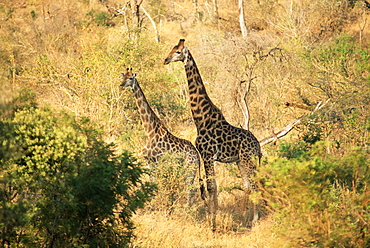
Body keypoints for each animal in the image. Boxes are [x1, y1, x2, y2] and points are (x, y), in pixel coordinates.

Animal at [120, 68, 201, 205]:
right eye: (123, 77)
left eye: (131, 78)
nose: (121, 85)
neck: (149, 132)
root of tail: (197, 154)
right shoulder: (149, 163)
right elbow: (152, 185)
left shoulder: (157, 162)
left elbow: (156, 186)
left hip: (189, 168)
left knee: (190, 189)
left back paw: (187, 208)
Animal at [165, 39, 264, 231]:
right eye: (171, 49)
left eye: (178, 52)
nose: (165, 60)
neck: (201, 118)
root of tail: (258, 146)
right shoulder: (207, 156)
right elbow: (213, 186)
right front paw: (213, 218)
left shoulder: (207, 155)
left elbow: (211, 186)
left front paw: (212, 223)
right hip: (240, 160)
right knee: (247, 183)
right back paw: (245, 217)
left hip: (248, 158)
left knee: (254, 182)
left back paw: (255, 219)